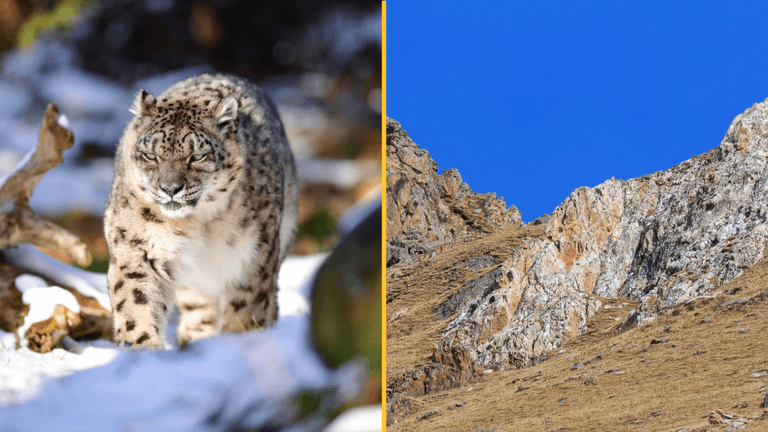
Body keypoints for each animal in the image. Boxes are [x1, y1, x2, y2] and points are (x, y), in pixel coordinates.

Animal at [104, 73, 298, 348]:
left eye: (197, 157)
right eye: (151, 155)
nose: (170, 188)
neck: (195, 223)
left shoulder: (252, 256)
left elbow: (245, 307)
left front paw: (239, 343)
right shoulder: (135, 245)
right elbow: (136, 305)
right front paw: (142, 349)